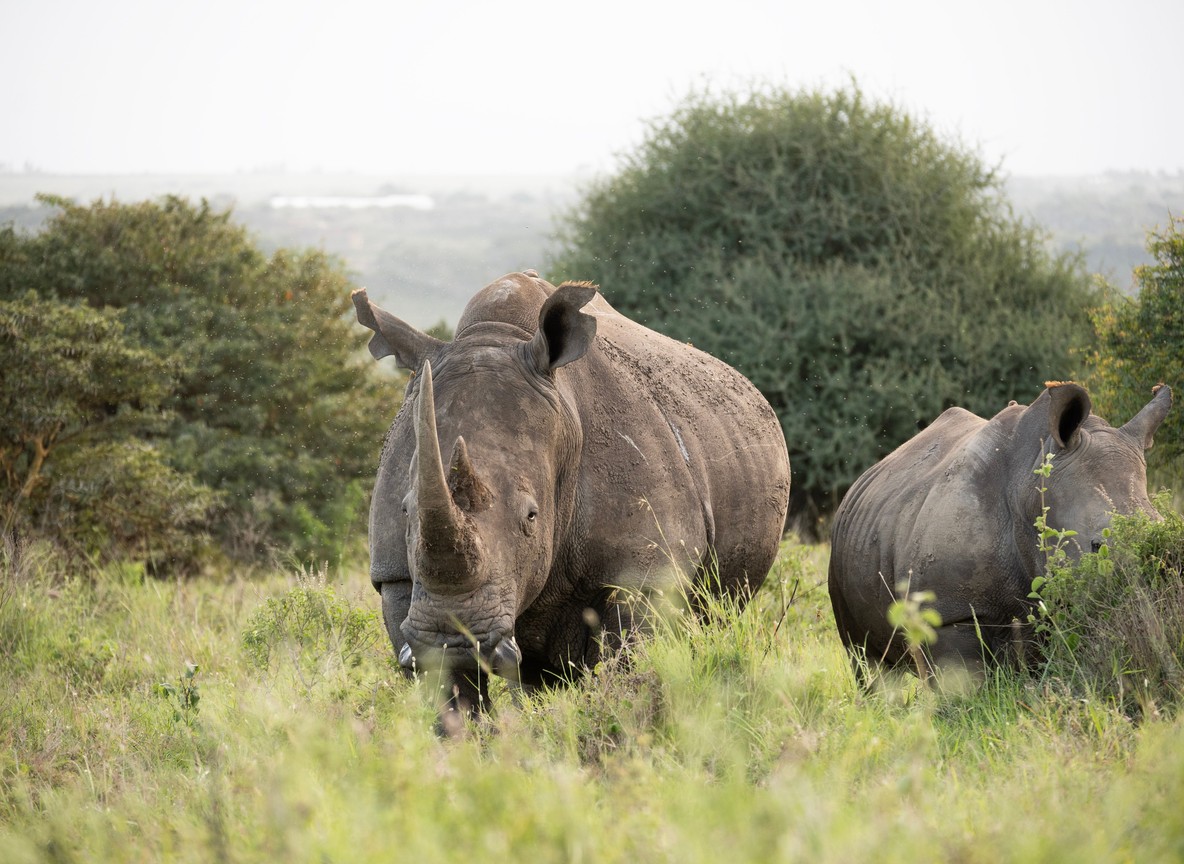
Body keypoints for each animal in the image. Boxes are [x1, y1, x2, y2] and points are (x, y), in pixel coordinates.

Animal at [352, 271, 790, 722]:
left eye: (531, 516)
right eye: (406, 510)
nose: (452, 641)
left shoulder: (646, 574)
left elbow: (629, 672)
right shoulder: (396, 575)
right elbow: (451, 697)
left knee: (716, 618)